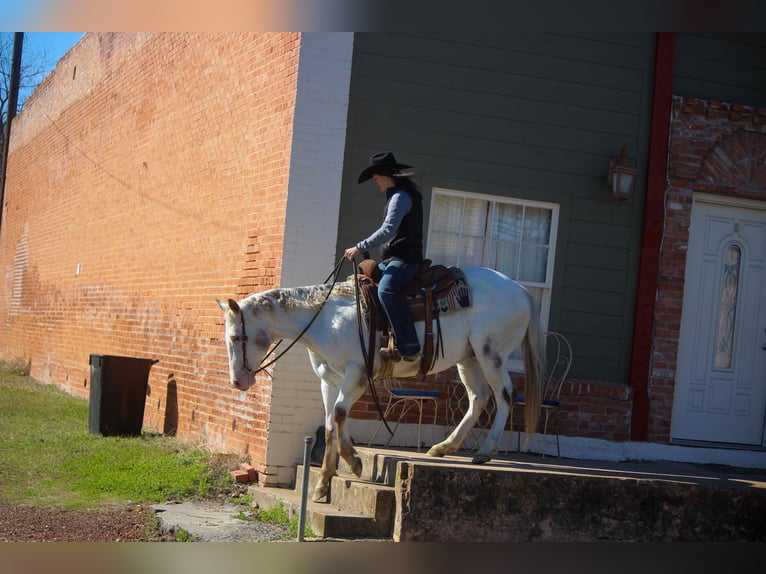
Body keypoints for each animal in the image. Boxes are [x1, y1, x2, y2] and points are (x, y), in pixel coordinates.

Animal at [218, 266, 544, 504]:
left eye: (235, 337)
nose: (237, 381)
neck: (325, 319)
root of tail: (521, 291)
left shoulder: (357, 374)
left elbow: (339, 413)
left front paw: (353, 462)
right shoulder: (328, 379)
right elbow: (331, 422)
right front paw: (324, 482)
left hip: (491, 353)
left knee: (504, 396)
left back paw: (484, 452)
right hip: (470, 358)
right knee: (479, 397)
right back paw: (444, 447)